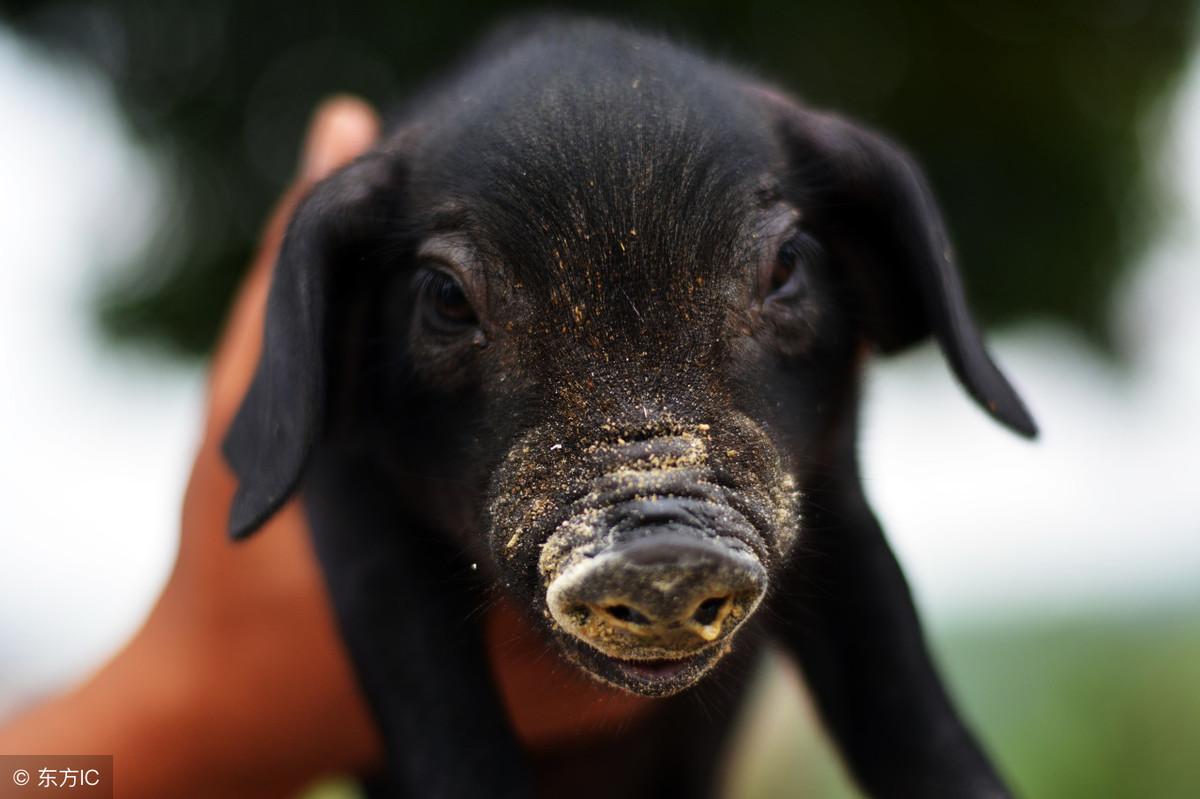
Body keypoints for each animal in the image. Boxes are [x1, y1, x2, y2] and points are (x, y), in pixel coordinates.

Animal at [226, 14, 1041, 796]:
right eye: (447, 298)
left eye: (786, 264)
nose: (662, 550)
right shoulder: (349, 500)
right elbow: (432, 698)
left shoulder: (834, 488)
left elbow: (898, 681)